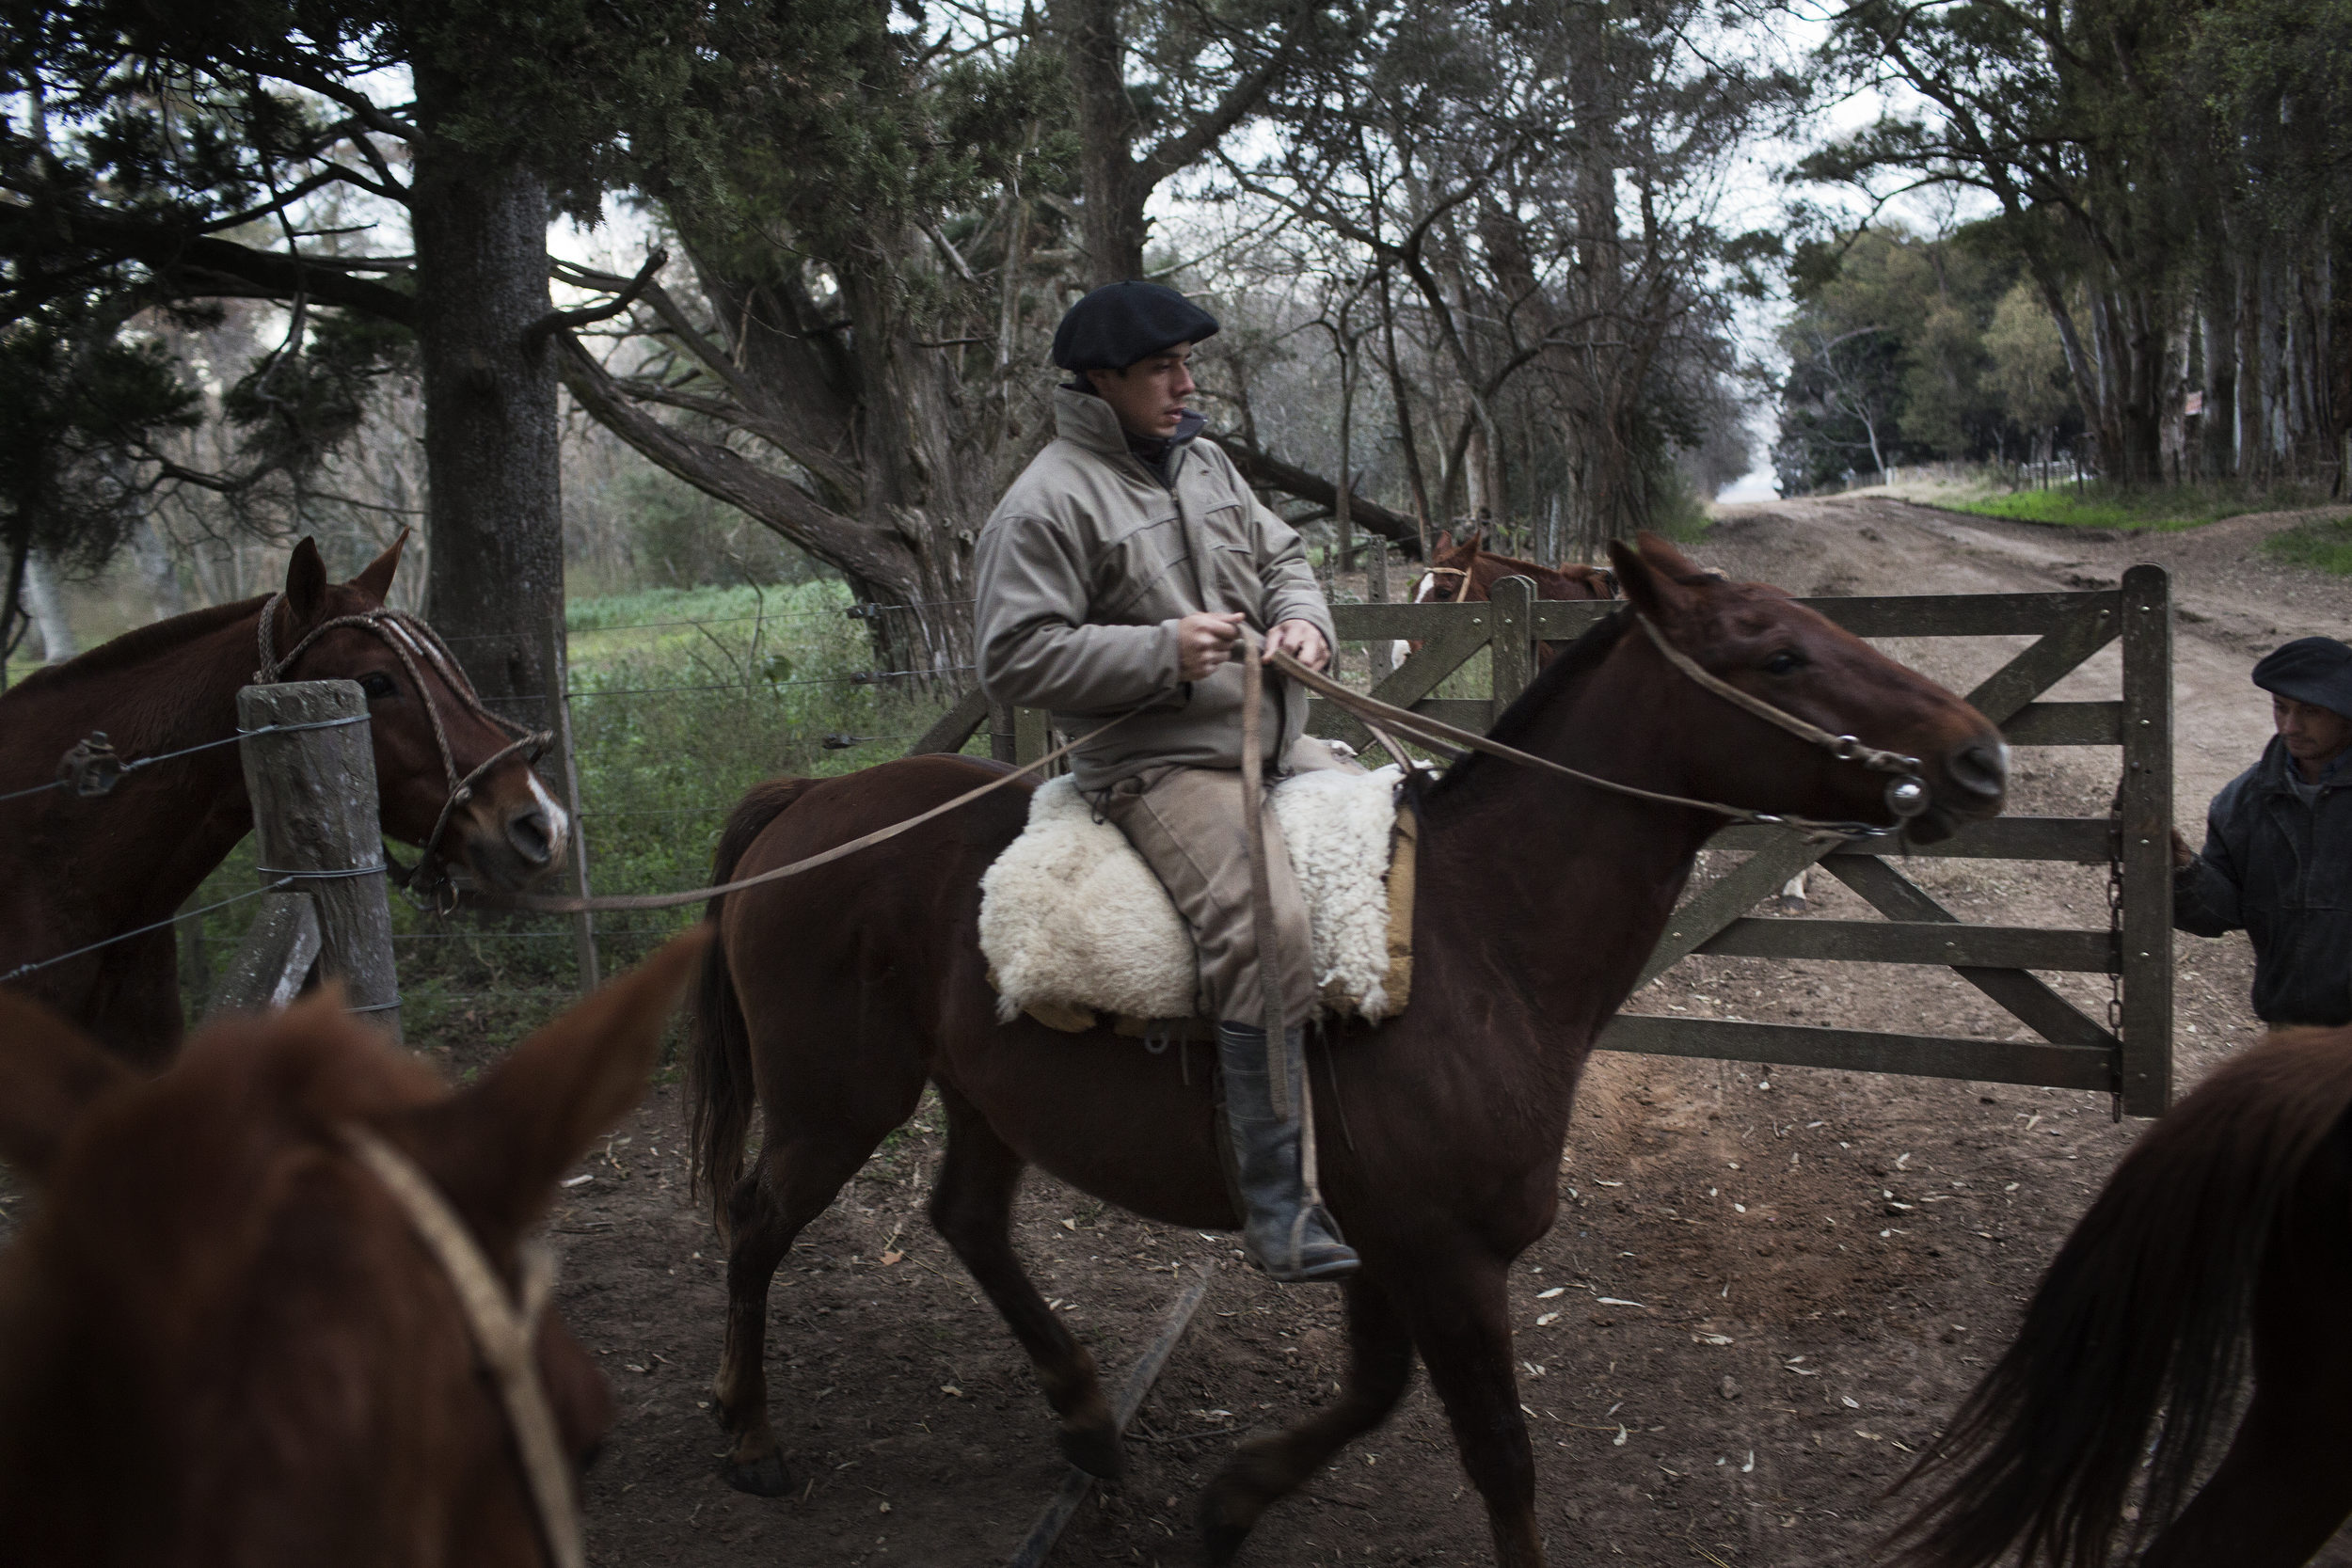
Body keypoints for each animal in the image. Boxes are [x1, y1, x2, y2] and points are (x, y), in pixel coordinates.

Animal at [677, 533, 2004, 1560]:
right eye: (1778, 655)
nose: (1979, 755)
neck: (1482, 935)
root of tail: (804, 803)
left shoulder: (1382, 1241)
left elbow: (1370, 1394)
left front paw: (1228, 1503)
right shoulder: (1447, 1255)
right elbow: (1498, 1455)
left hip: (980, 1094)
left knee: (964, 1220)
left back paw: (1088, 1417)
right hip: (835, 1098)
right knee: (756, 1221)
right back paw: (746, 1431)